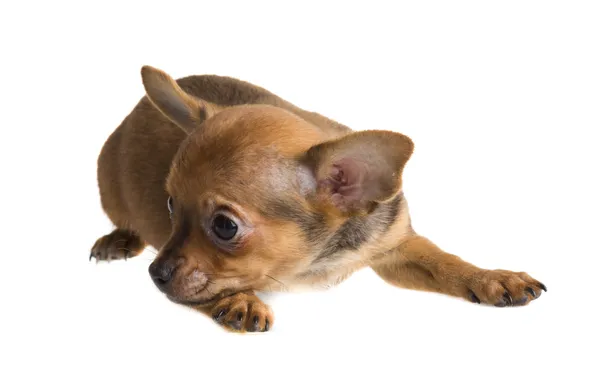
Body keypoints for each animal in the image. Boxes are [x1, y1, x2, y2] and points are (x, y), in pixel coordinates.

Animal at [91, 66, 548, 332]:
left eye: (225, 226)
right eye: (169, 205)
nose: (156, 274)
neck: (317, 258)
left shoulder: (394, 249)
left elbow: (445, 263)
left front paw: (491, 277)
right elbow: (208, 290)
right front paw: (239, 300)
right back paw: (119, 238)